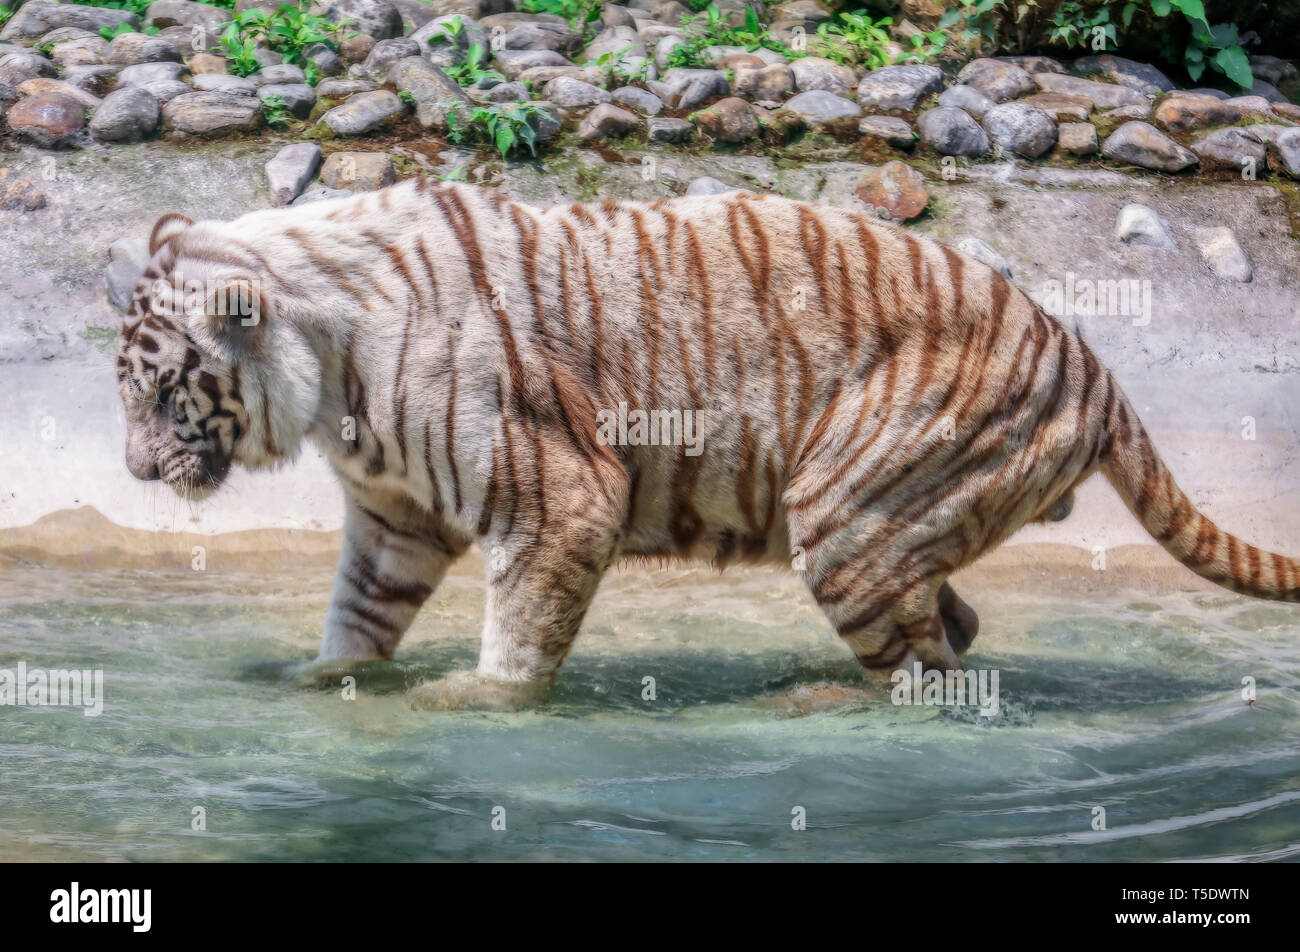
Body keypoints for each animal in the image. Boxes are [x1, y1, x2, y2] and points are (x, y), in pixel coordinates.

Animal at [115, 178, 1300, 693]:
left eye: (162, 391)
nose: (132, 468)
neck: (330, 379)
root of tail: (1087, 354)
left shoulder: (559, 503)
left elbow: (516, 647)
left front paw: (478, 706)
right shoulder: (394, 520)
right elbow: (354, 622)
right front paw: (315, 689)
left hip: (848, 516)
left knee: (934, 672)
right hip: (889, 531)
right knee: (953, 625)